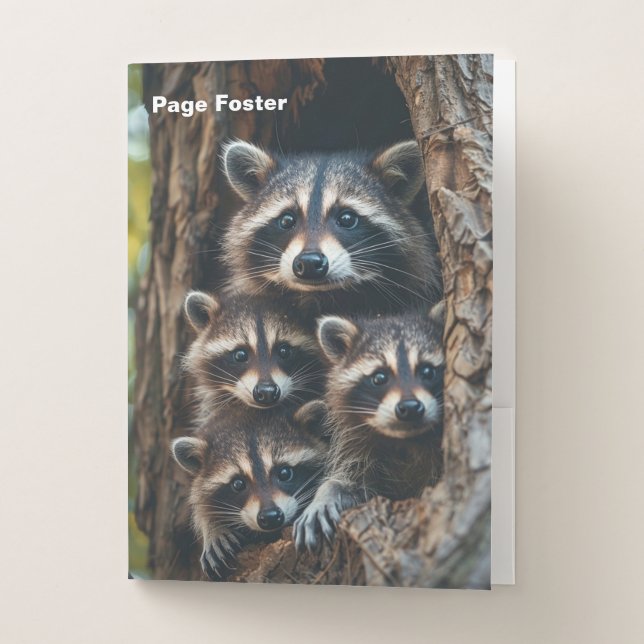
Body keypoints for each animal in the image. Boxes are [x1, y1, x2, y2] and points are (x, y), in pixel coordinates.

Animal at [293, 302, 445, 553]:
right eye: (379, 377)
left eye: (427, 371)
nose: (410, 407)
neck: (404, 440)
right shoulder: (355, 443)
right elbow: (351, 483)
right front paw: (325, 494)